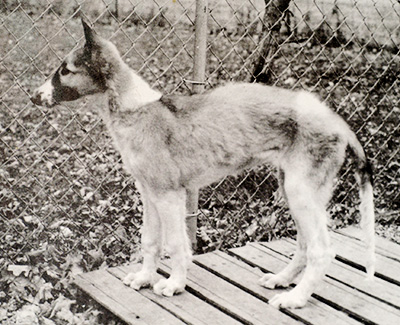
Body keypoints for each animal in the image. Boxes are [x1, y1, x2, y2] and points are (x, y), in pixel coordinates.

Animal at [31, 19, 376, 308]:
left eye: (65, 70)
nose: (34, 97)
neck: (135, 109)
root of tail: (336, 120)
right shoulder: (149, 193)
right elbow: (150, 241)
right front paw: (144, 278)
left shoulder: (169, 195)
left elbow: (176, 244)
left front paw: (174, 284)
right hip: (296, 190)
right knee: (304, 245)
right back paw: (282, 281)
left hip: (301, 191)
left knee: (321, 250)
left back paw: (296, 298)